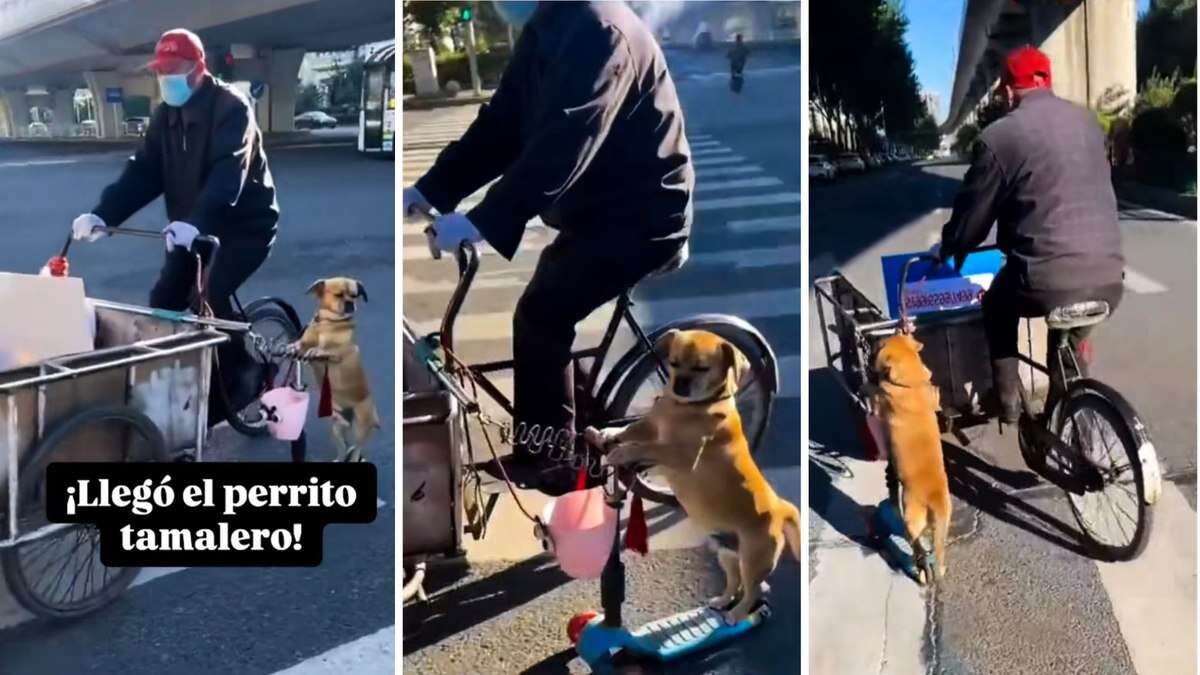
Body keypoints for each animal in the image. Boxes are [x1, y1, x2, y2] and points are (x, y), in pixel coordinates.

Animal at [288, 276, 376, 458]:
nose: (350, 303)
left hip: (360, 427)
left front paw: (317, 349)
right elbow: (301, 344)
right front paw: (294, 345)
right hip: (336, 429)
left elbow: (328, 350)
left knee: (357, 447)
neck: (327, 322)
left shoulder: (340, 353)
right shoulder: (306, 341)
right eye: (338, 295)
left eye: (354, 295)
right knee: (343, 447)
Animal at [590, 329, 796, 624]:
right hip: (727, 556)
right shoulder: (650, 425)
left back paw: (737, 614)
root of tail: (779, 509)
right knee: (735, 583)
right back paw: (722, 601)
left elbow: (648, 447)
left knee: (753, 591)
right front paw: (607, 435)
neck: (687, 407)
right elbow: (631, 429)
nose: (679, 385)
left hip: (753, 561)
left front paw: (622, 451)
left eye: (702, 368)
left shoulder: (681, 456)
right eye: (673, 363)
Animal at [878, 333, 950, 581]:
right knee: (938, 549)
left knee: (916, 543)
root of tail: (934, 499)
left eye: (881, 344)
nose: (875, 341)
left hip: (911, 519)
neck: (912, 384)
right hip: (943, 523)